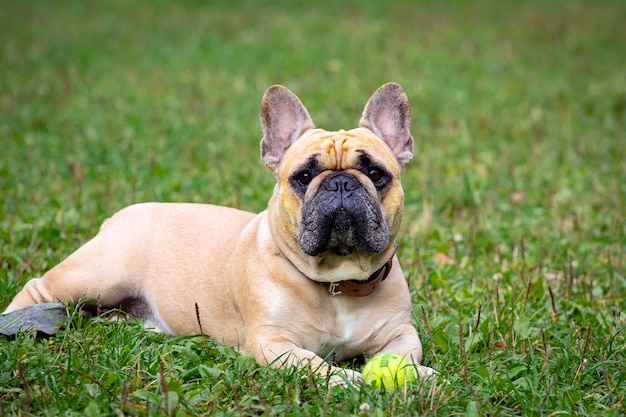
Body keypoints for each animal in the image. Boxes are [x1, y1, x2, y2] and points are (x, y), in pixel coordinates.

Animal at [3, 83, 434, 386]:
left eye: (376, 174)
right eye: (304, 176)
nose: (341, 183)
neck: (337, 284)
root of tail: (120, 216)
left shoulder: (401, 334)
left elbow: (406, 355)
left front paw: (418, 375)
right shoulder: (273, 343)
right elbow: (316, 364)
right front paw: (349, 380)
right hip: (96, 276)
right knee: (38, 287)